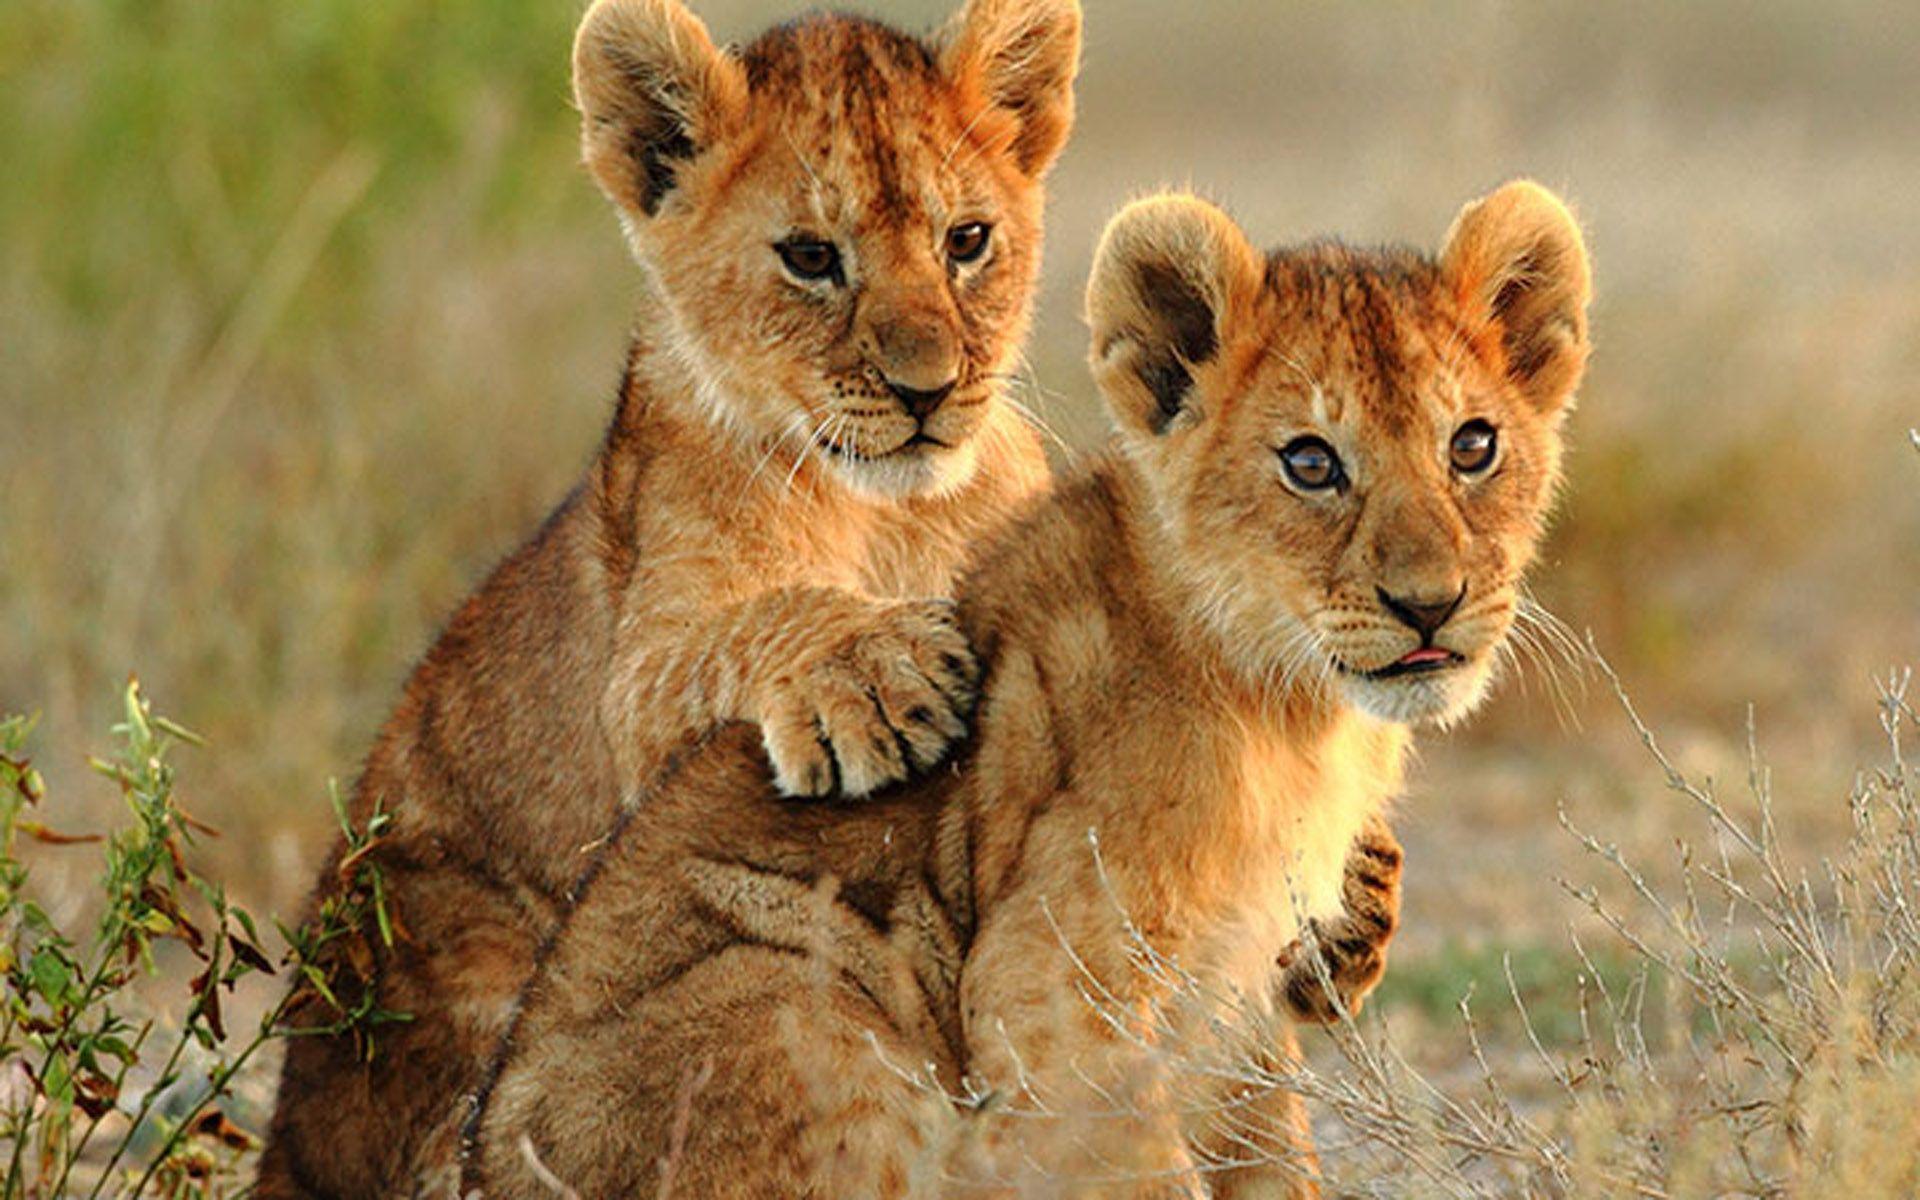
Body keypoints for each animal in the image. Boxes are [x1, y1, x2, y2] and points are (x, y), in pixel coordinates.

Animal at [255, 0, 1085, 1194]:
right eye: (811, 258)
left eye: (966, 242)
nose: (928, 390)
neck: (893, 515)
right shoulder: (641, 678)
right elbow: (742, 633)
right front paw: (878, 673)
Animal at [462, 179, 1592, 1199]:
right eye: (1311, 464)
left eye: (1473, 446)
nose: (1431, 606)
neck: (1298, 714)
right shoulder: (1050, 985)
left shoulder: (1232, 1000)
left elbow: (1272, 1157)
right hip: (801, 993)